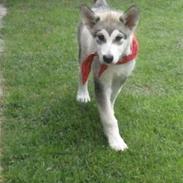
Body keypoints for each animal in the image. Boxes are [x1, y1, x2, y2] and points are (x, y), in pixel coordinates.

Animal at [75, 0, 139, 152]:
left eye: (119, 38)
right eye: (100, 37)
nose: (107, 58)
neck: (117, 63)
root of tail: (101, 5)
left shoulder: (121, 79)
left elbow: (110, 101)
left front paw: (110, 109)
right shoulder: (101, 81)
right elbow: (109, 118)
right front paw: (116, 140)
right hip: (84, 53)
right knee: (82, 74)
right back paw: (82, 94)